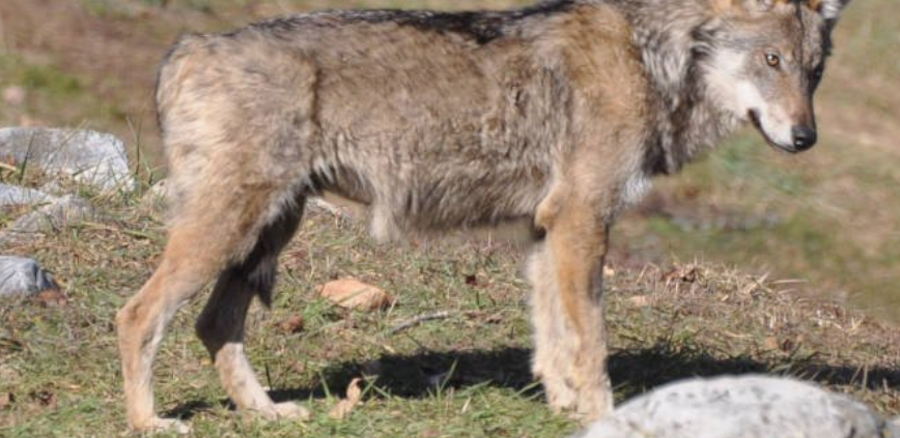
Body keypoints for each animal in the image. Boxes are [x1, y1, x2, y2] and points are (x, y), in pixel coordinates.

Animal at [116, 0, 852, 432]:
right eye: (771, 60)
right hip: (233, 231)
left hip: (266, 234)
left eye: (814, 71)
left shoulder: (547, 229)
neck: (650, 57)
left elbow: (553, 342)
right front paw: (604, 415)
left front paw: (564, 409)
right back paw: (149, 423)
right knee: (136, 314)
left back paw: (267, 411)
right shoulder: (582, 221)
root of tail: (189, 47)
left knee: (213, 326)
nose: (805, 137)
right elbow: (592, 343)